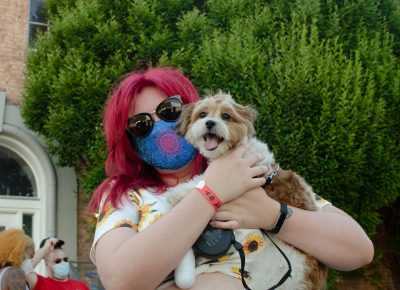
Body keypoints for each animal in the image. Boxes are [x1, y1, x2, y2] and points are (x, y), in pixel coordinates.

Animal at [167, 93, 326, 290]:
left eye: (226, 116)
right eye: (202, 114)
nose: (210, 123)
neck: (234, 150)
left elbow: (201, 182)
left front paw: (176, 193)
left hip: (271, 274)